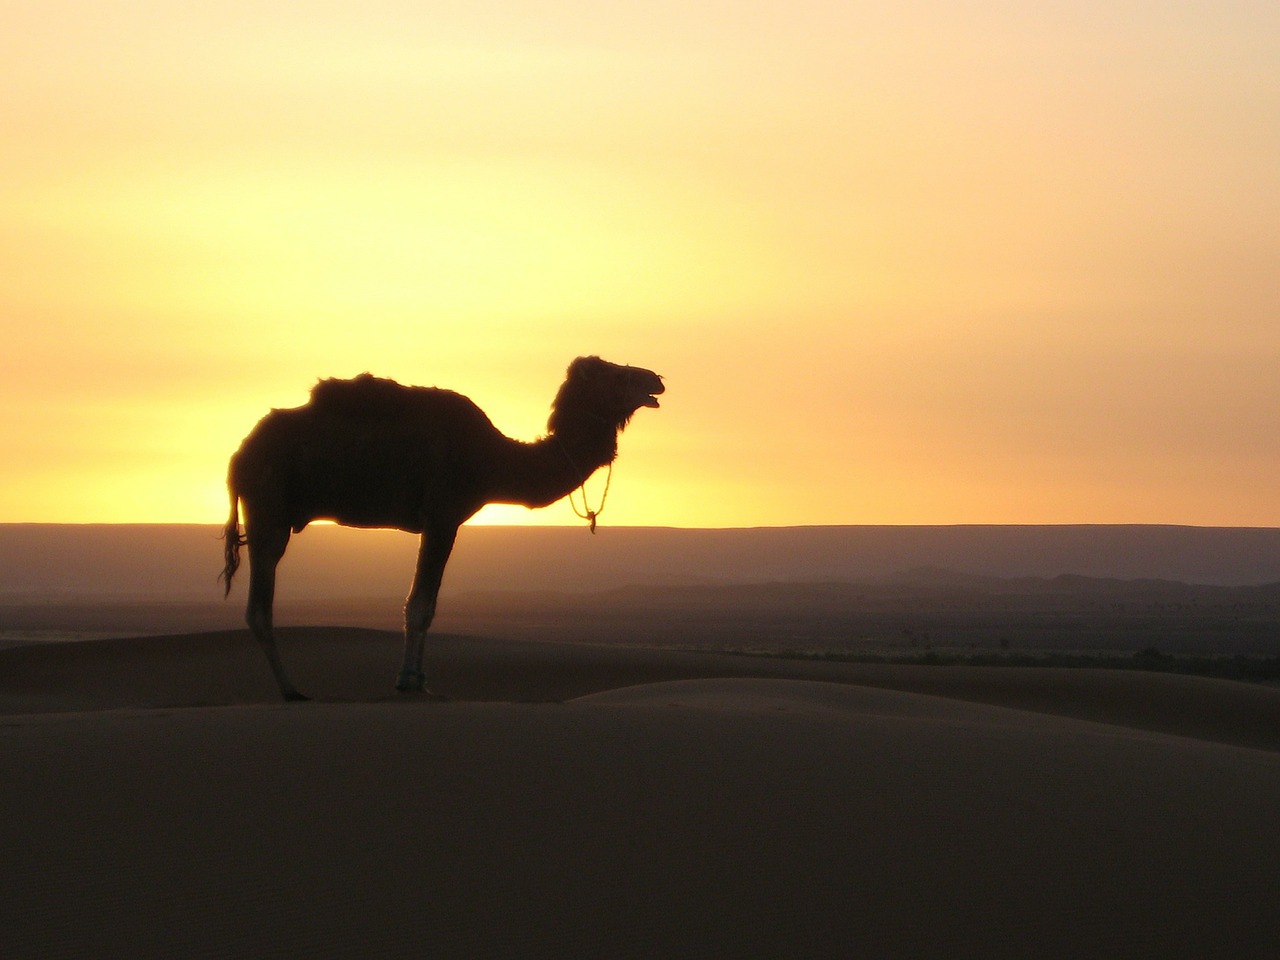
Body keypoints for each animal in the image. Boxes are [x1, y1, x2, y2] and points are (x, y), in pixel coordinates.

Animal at [218, 358, 665, 701]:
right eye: (617, 376)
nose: (656, 379)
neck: (493, 458)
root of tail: (238, 456)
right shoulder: (442, 516)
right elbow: (420, 606)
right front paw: (409, 684)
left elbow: (423, 605)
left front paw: (416, 681)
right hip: (269, 508)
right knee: (259, 605)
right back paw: (291, 690)